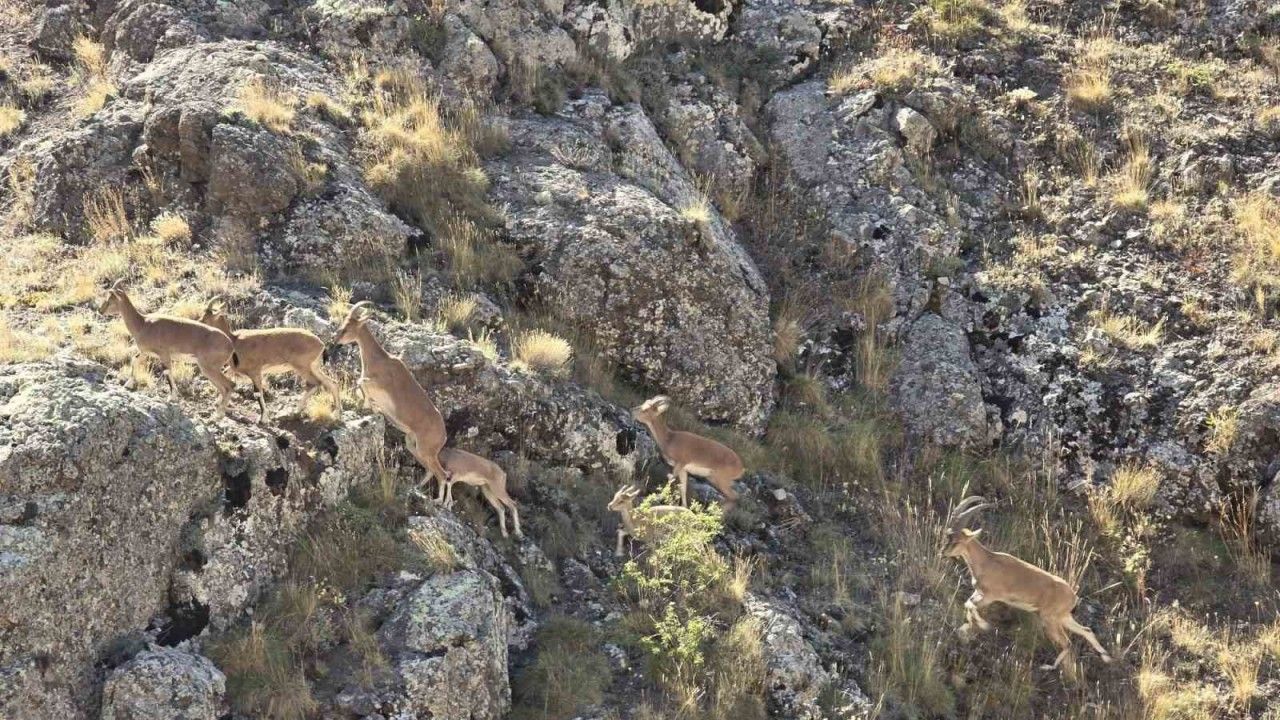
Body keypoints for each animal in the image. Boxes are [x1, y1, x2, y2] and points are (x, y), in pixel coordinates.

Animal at [98, 280, 237, 416]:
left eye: (110, 300)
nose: (100, 311)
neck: (143, 324)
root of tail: (230, 345)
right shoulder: (145, 352)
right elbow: (135, 360)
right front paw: (128, 384)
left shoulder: (164, 354)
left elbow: (167, 372)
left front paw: (171, 397)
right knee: (226, 386)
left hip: (208, 367)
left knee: (229, 385)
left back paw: (217, 416)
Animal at [198, 297, 341, 423]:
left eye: (205, 318)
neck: (235, 340)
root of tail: (321, 345)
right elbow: (227, 376)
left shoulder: (255, 372)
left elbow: (258, 393)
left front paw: (263, 419)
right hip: (314, 368)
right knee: (331, 383)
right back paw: (336, 413)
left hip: (302, 367)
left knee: (315, 383)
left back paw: (296, 411)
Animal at [333, 301, 451, 497]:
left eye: (348, 326)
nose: (336, 339)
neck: (379, 361)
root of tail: (444, 435)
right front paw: (371, 407)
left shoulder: (378, 383)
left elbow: (360, 383)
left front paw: (369, 406)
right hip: (413, 445)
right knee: (432, 471)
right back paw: (415, 489)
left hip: (426, 450)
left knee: (443, 475)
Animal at [943, 496, 1112, 672]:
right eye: (948, 537)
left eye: (956, 541)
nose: (943, 553)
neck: (987, 562)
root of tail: (1073, 597)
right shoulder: (979, 593)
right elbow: (967, 603)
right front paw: (966, 629)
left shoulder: (991, 596)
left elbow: (971, 606)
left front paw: (982, 625)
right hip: (1063, 617)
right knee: (1086, 631)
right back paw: (1107, 657)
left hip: (1050, 619)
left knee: (1067, 643)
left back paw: (1047, 667)